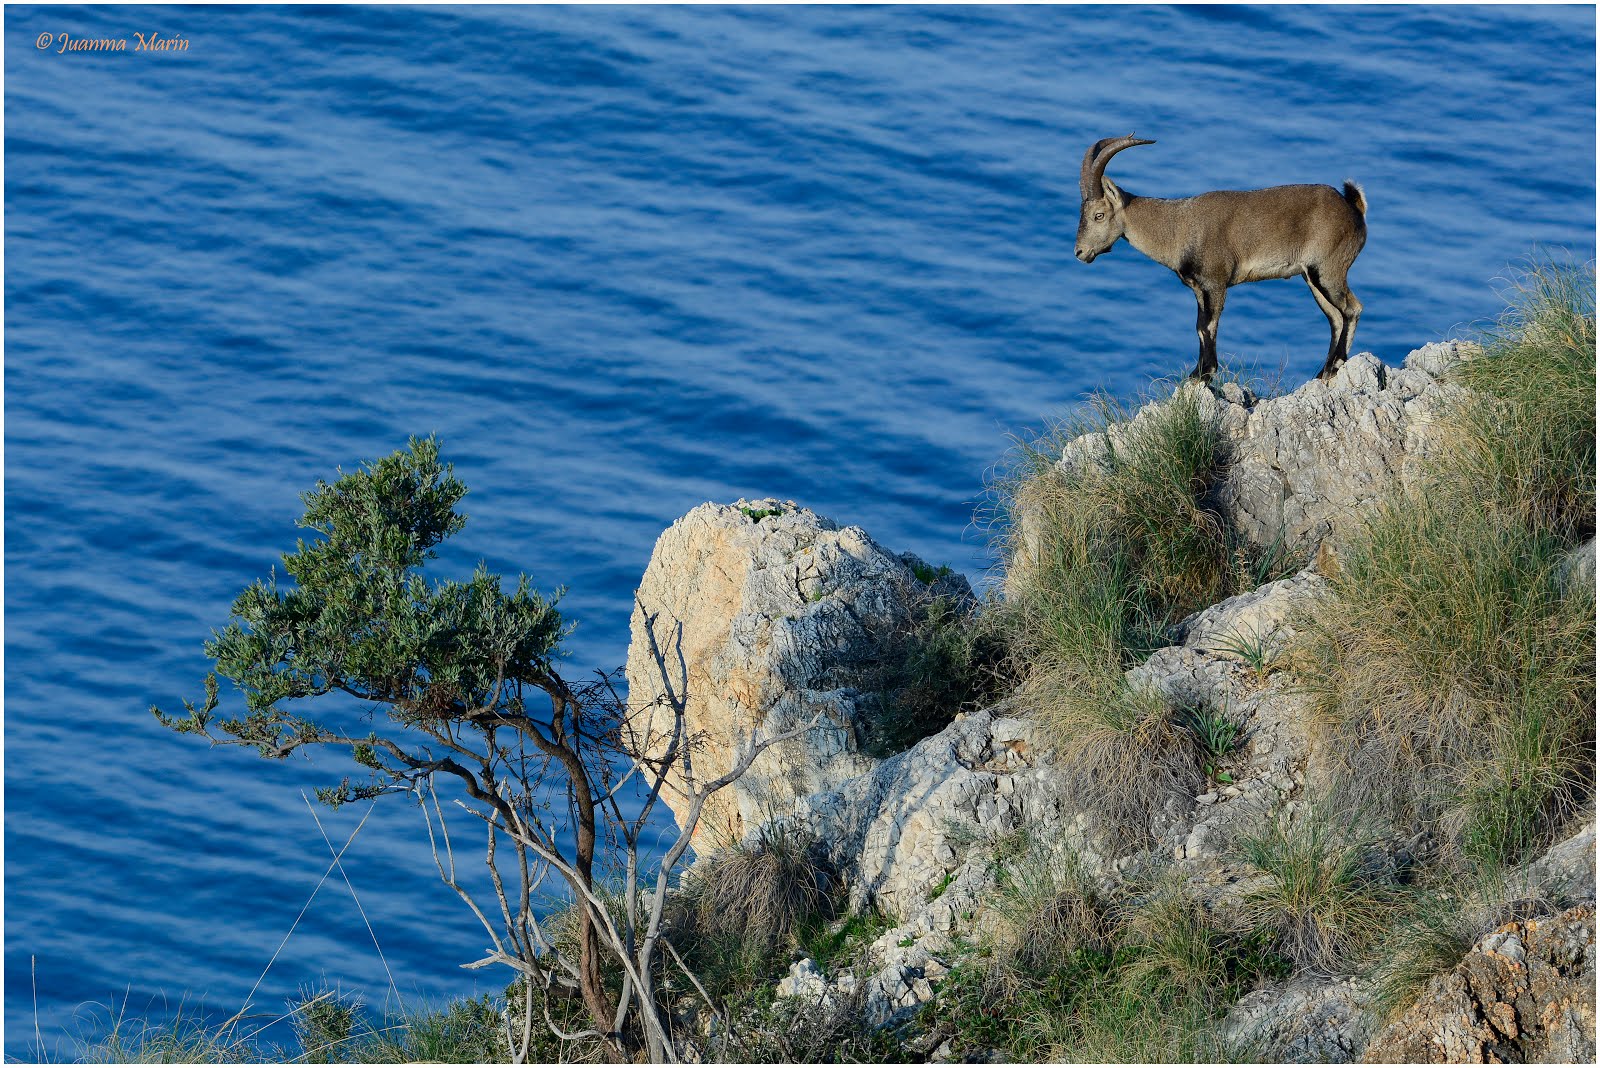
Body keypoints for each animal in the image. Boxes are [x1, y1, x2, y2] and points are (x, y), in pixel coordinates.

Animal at [1068, 135, 1369, 382]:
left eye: (1098, 215)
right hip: (1312, 277)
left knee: (1352, 309)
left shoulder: (1215, 282)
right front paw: (1197, 372)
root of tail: (1353, 209)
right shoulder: (1199, 288)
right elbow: (1200, 326)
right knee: (1335, 317)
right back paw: (1323, 371)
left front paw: (1205, 374)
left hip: (1328, 269)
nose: (1080, 252)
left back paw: (1335, 365)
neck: (1178, 228)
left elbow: (1208, 325)